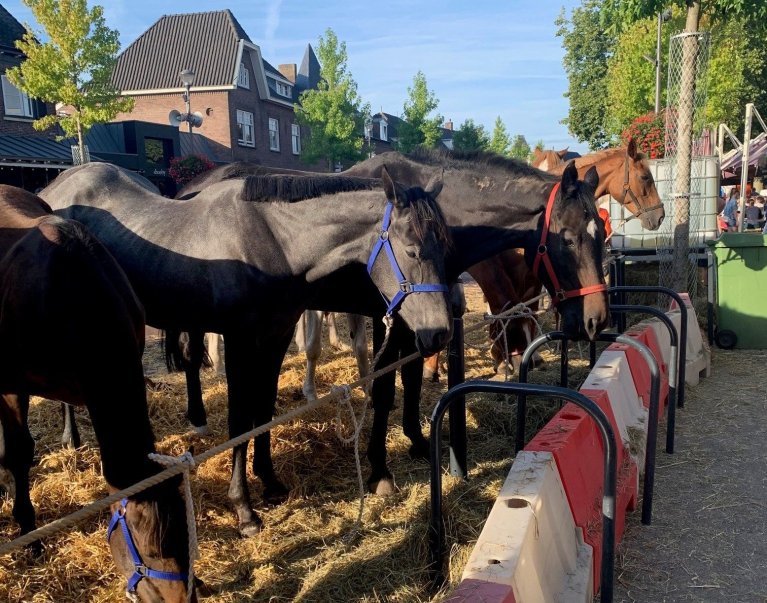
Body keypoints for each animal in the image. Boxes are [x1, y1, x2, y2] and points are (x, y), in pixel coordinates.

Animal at [42, 163, 456, 536]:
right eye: (413, 251)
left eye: (445, 247)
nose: (440, 333)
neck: (273, 242)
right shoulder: (240, 340)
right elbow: (241, 419)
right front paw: (244, 509)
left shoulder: (276, 337)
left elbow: (264, 409)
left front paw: (269, 481)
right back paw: (70, 439)